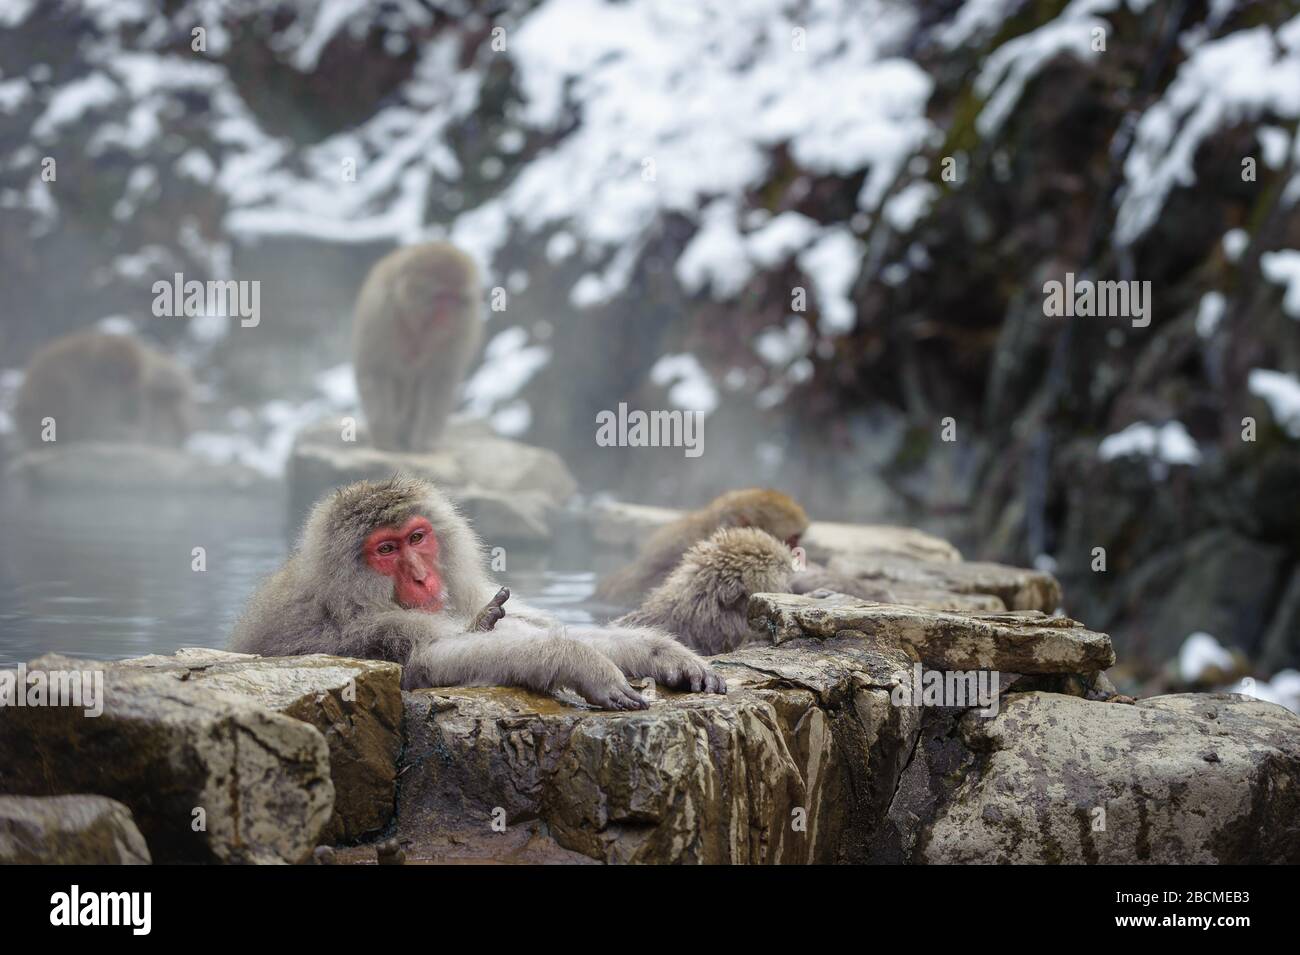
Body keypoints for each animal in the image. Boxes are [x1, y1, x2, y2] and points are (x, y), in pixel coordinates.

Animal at [228, 478, 728, 712]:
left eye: (417, 538)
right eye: (385, 550)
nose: (421, 578)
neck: (347, 596)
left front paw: (661, 651)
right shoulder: (364, 629)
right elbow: (430, 661)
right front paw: (579, 663)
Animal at [353, 240, 486, 454]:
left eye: (455, 298)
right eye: (441, 296)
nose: (448, 317)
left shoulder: (463, 326)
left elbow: (439, 379)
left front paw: (426, 443)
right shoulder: (381, 312)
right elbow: (376, 371)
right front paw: (385, 440)